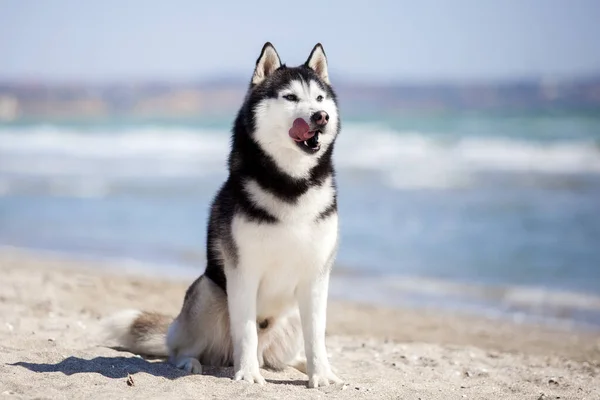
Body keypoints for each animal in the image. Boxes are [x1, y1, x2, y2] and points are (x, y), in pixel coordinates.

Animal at [104, 43, 342, 388]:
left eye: (320, 98)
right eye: (291, 97)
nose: (320, 117)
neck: (291, 183)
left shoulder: (316, 276)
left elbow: (317, 337)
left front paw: (321, 375)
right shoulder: (243, 271)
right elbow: (246, 330)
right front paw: (248, 375)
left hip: (290, 317)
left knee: (282, 356)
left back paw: (299, 364)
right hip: (208, 292)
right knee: (181, 349)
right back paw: (192, 362)